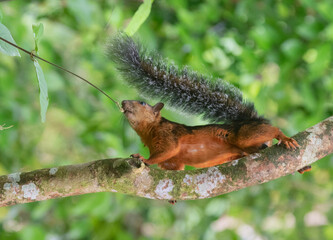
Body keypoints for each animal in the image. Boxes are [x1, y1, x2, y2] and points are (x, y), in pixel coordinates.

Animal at [107, 32, 310, 174]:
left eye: (142, 102)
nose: (123, 102)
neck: (149, 131)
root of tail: (253, 120)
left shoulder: (168, 135)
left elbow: (167, 150)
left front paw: (143, 158)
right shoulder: (173, 161)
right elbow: (174, 166)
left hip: (245, 135)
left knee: (273, 130)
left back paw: (285, 138)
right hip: (250, 147)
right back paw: (301, 167)